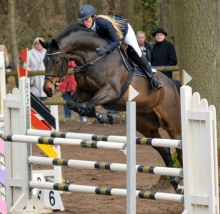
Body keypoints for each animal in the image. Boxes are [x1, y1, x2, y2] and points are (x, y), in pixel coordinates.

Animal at [40, 23, 183, 194]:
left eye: (56, 60)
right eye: (44, 61)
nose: (47, 89)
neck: (92, 58)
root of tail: (171, 84)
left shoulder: (111, 90)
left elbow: (90, 105)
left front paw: (104, 117)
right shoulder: (83, 92)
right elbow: (73, 104)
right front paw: (101, 116)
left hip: (172, 122)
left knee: (179, 147)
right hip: (145, 124)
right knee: (164, 149)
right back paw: (175, 182)